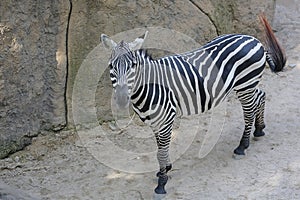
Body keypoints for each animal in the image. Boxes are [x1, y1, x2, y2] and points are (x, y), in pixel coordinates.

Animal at [100, 15, 286, 194]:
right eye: (111, 66)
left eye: (133, 66)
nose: (121, 99)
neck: (149, 87)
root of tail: (253, 39)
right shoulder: (154, 123)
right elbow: (160, 149)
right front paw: (164, 170)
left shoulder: (166, 120)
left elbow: (161, 153)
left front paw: (161, 184)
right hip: (248, 85)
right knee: (260, 96)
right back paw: (259, 129)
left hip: (245, 84)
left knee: (248, 112)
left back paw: (242, 146)